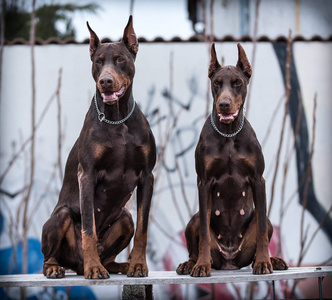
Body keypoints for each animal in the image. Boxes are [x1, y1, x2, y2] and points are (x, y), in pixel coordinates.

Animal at [41, 16, 156, 278]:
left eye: (120, 59)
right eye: (98, 62)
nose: (105, 81)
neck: (118, 121)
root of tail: (76, 264)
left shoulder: (147, 176)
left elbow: (143, 229)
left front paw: (138, 264)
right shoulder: (87, 175)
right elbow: (88, 229)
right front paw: (94, 268)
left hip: (125, 218)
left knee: (114, 249)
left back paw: (120, 265)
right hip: (60, 216)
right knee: (48, 255)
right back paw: (60, 267)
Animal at [176, 42, 288, 276]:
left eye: (237, 82)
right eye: (216, 84)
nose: (224, 104)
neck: (228, 134)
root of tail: (229, 261)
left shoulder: (258, 180)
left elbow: (262, 230)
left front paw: (264, 262)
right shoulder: (204, 182)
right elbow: (204, 233)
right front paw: (202, 265)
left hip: (262, 228)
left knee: (263, 228)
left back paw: (272, 260)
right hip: (194, 220)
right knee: (196, 236)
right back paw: (190, 263)